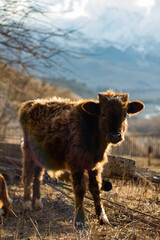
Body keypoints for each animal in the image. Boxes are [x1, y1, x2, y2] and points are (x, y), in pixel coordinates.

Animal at [18, 89, 144, 227]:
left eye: (124, 114)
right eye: (103, 114)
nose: (115, 136)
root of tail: (31, 103)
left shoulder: (95, 165)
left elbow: (96, 188)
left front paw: (102, 218)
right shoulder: (76, 164)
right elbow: (80, 189)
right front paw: (79, 220)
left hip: (41, 155)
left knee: (37, 176)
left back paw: (37, 203)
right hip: (28, 151)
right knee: (27, 176)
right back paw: (26, 204)